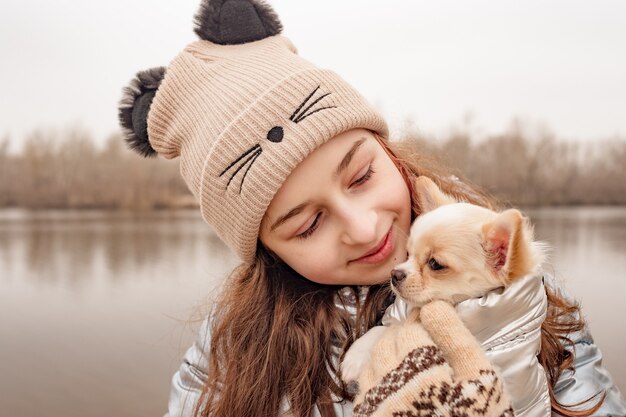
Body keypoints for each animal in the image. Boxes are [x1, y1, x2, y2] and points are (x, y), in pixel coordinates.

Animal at [338, 174, 544, 382]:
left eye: (435, 264)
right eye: (409, 253)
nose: (395, 274)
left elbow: (391, 329)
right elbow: (384, 328)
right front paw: (357, 353)